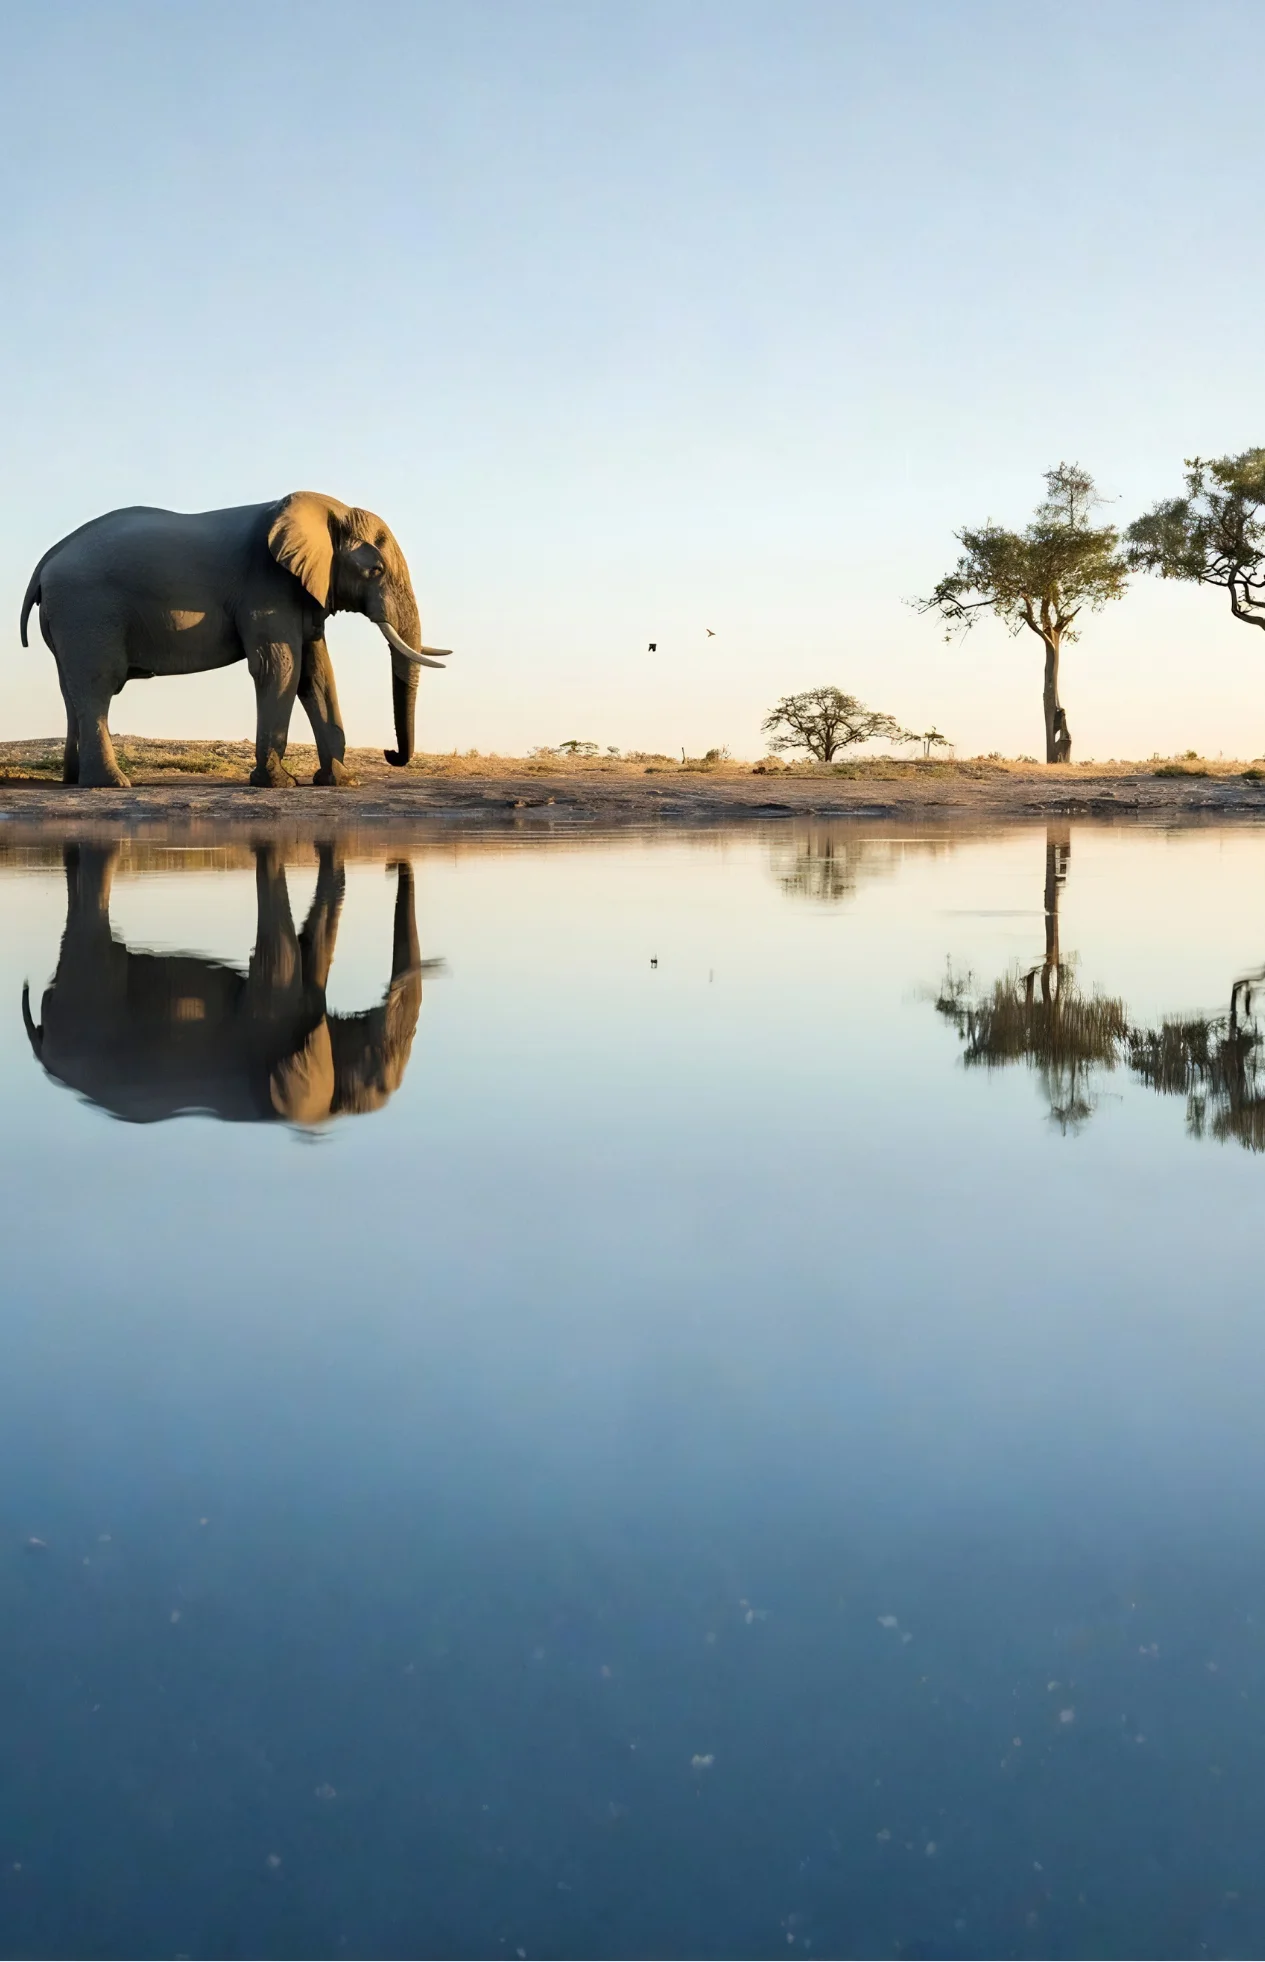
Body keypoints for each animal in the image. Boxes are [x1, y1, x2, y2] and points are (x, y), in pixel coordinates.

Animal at [19, 493, 451, 788]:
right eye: (375, 570)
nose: (391, 754)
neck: (329, 509)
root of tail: (47, 559)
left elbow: (316, 673)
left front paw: (340, 783)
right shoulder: (266, 587)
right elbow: (281, 666)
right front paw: (277, 784)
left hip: (69, 617)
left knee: (71, 690)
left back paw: (74, 780)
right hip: (87, 609)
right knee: (98, 685)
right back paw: (111, 784)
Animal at [22, 843, 432, 1126]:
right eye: (377, 1080)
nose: (392, 865)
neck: (324, 1117)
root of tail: (42, 1052)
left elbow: (313, 951)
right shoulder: (267, 1023)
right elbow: (285, 954)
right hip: (89, 1000)